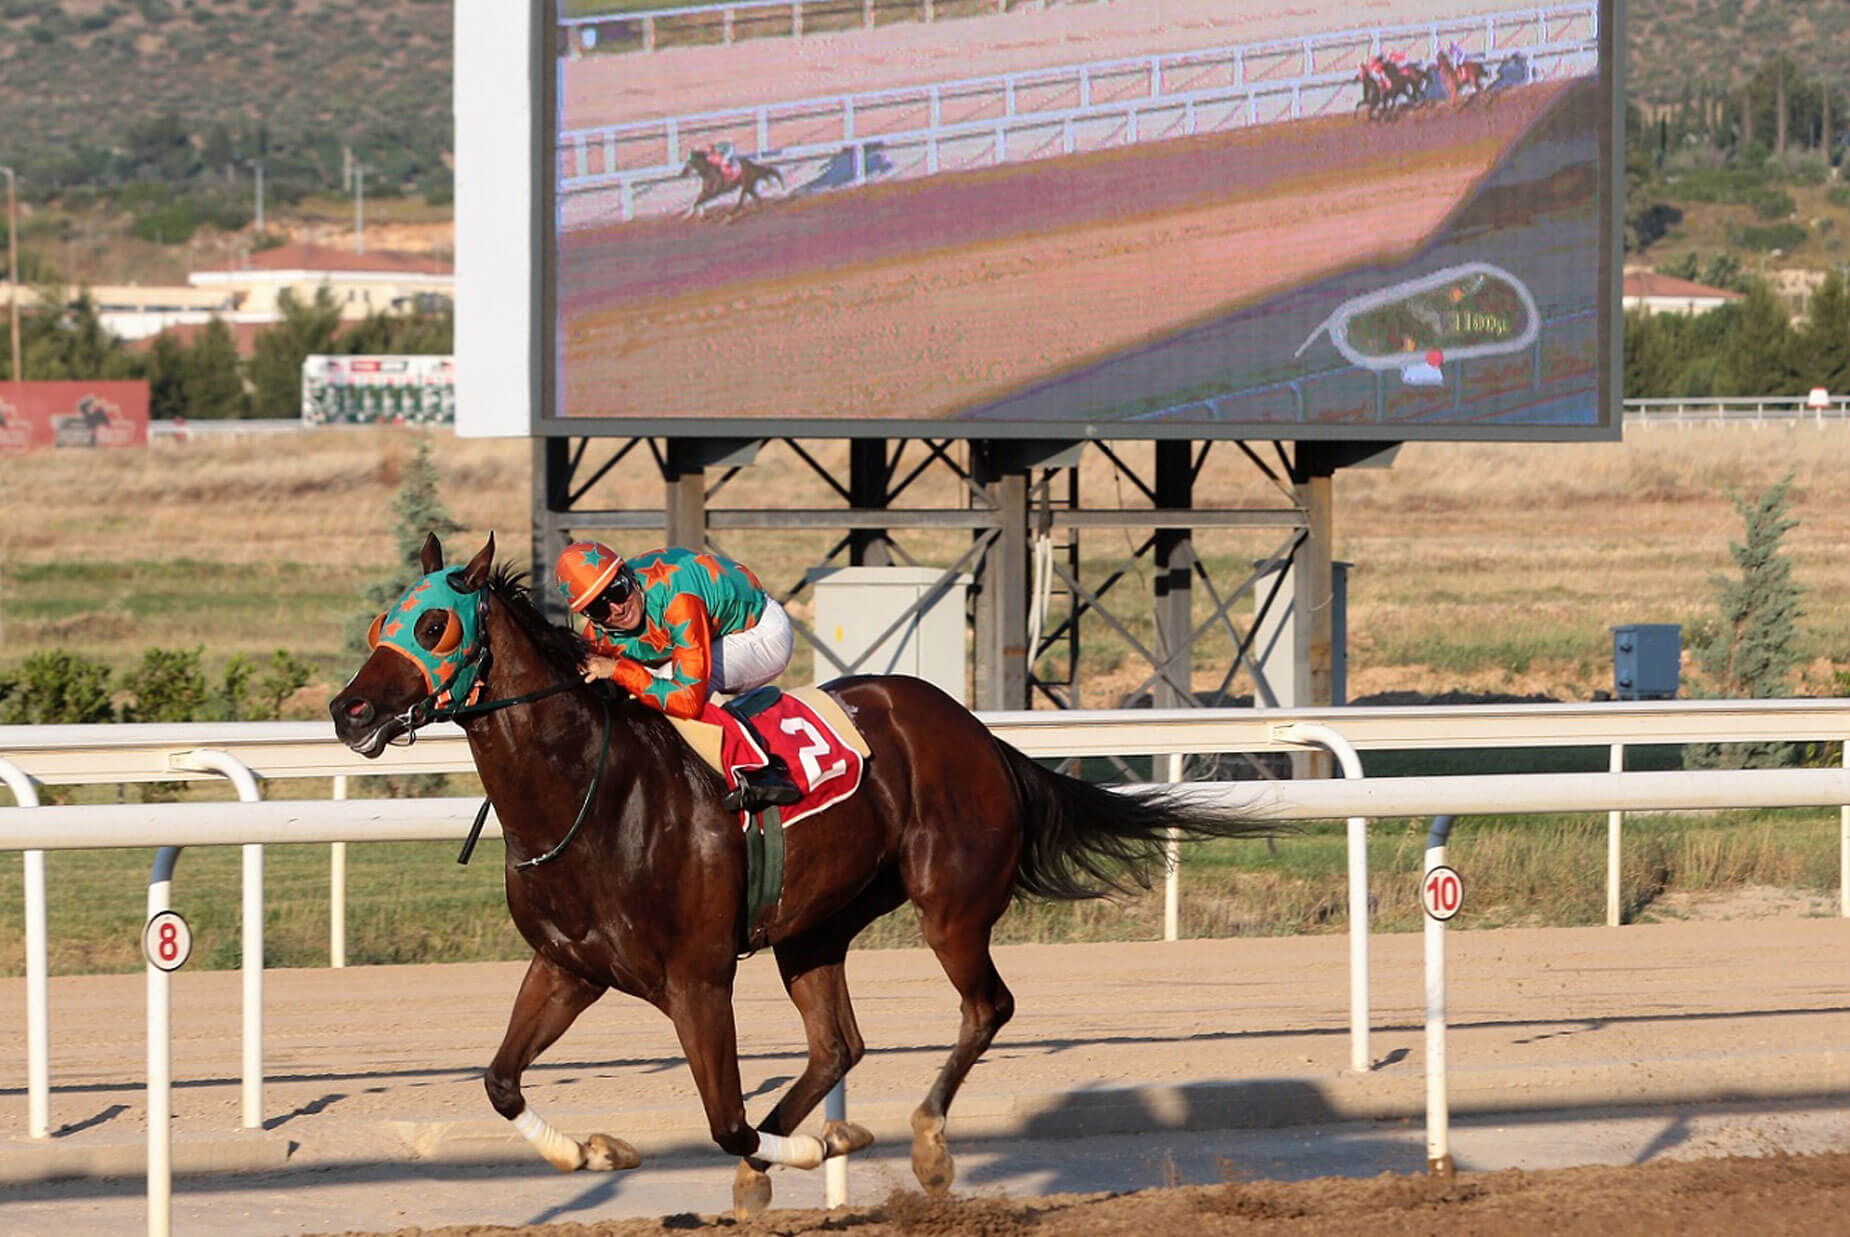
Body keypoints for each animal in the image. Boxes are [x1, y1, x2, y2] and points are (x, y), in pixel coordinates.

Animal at [333, 532, 1272, 1212]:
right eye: (382, 620)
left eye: (433, 626)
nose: (348, 711)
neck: (590, 795)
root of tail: (981, 734)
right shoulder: (568, 965)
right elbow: (499, 1081)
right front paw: (595, 1148)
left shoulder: (698, 978)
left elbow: (725, 1119)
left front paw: (816, 1145)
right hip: (813, 927)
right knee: (837, 1043)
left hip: (950, 904)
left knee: (986, 1007)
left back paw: (925, 1144)